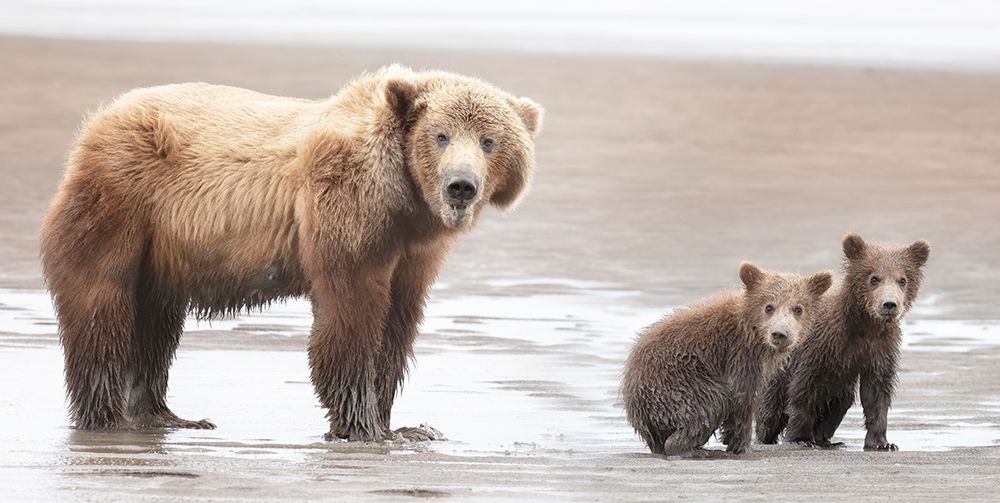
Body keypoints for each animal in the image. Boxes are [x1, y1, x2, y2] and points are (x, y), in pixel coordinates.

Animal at [39, 66, 544, 440]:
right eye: (440, 135)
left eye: (489, 141)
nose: (461, 185)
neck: (404, 198)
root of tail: (100, 119)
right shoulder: (346, 207)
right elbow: (351, 312)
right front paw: (364, 425)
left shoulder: (415, 251)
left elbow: (398, 323)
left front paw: (403, 425)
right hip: (121, 200)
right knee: (101, 305)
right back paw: (107, 417)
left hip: (162, 252)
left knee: (156, 324)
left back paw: (167, 415)